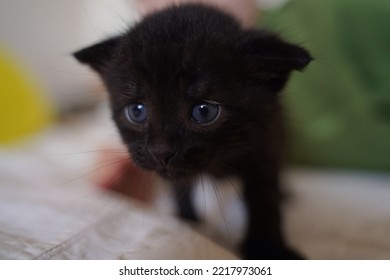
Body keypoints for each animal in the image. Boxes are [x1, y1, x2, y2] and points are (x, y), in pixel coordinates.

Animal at [72, 3, 310, 260]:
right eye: (136, 111)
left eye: (204, 111)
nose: (160, 151)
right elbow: (181, 189)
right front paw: (187, 222)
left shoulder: (265, 150)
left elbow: (265, 202)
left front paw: (269, 249)